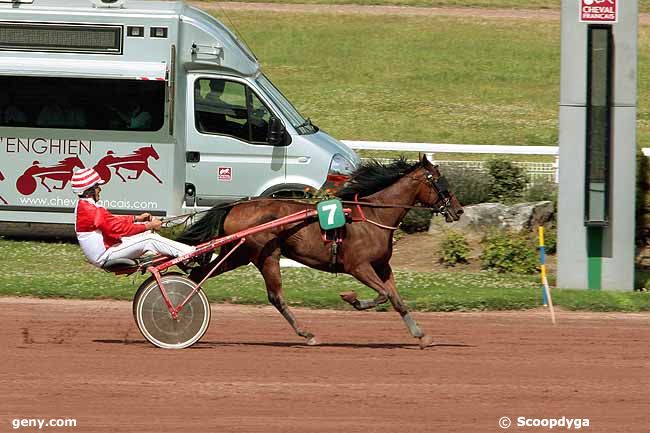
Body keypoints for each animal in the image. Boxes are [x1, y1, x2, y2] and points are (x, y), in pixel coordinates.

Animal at [177, 155, 460, 348]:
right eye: (440, 182)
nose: (458, 210)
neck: (374, 215)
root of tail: (235, 206)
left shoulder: (382, 266)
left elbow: (396, 300)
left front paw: (421, 335)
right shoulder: (358, 267)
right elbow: (382, 295)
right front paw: (352, 298)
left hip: (239, 254)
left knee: (198, 275)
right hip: (265, 255)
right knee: (275, 297)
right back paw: (307, 334)